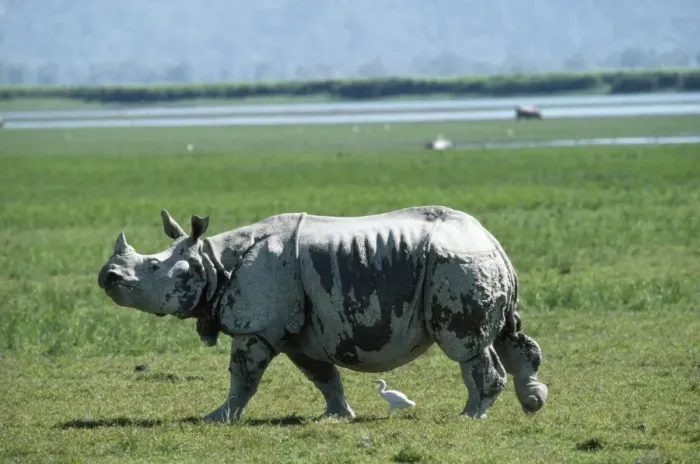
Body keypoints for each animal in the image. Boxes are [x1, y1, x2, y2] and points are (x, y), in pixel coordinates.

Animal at [97, 205, 548, 422]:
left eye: (153, 267)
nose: (107, 277)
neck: (211, 261)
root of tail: (489, 238)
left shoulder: (256, 326)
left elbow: (243, 376)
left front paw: (216, 418)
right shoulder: (299, 332)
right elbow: (323, 376)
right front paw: (337, 416)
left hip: (454, 264)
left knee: (466, 345)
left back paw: (470, 416)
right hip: (475, 263)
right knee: (507, 335)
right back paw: (532, 403)